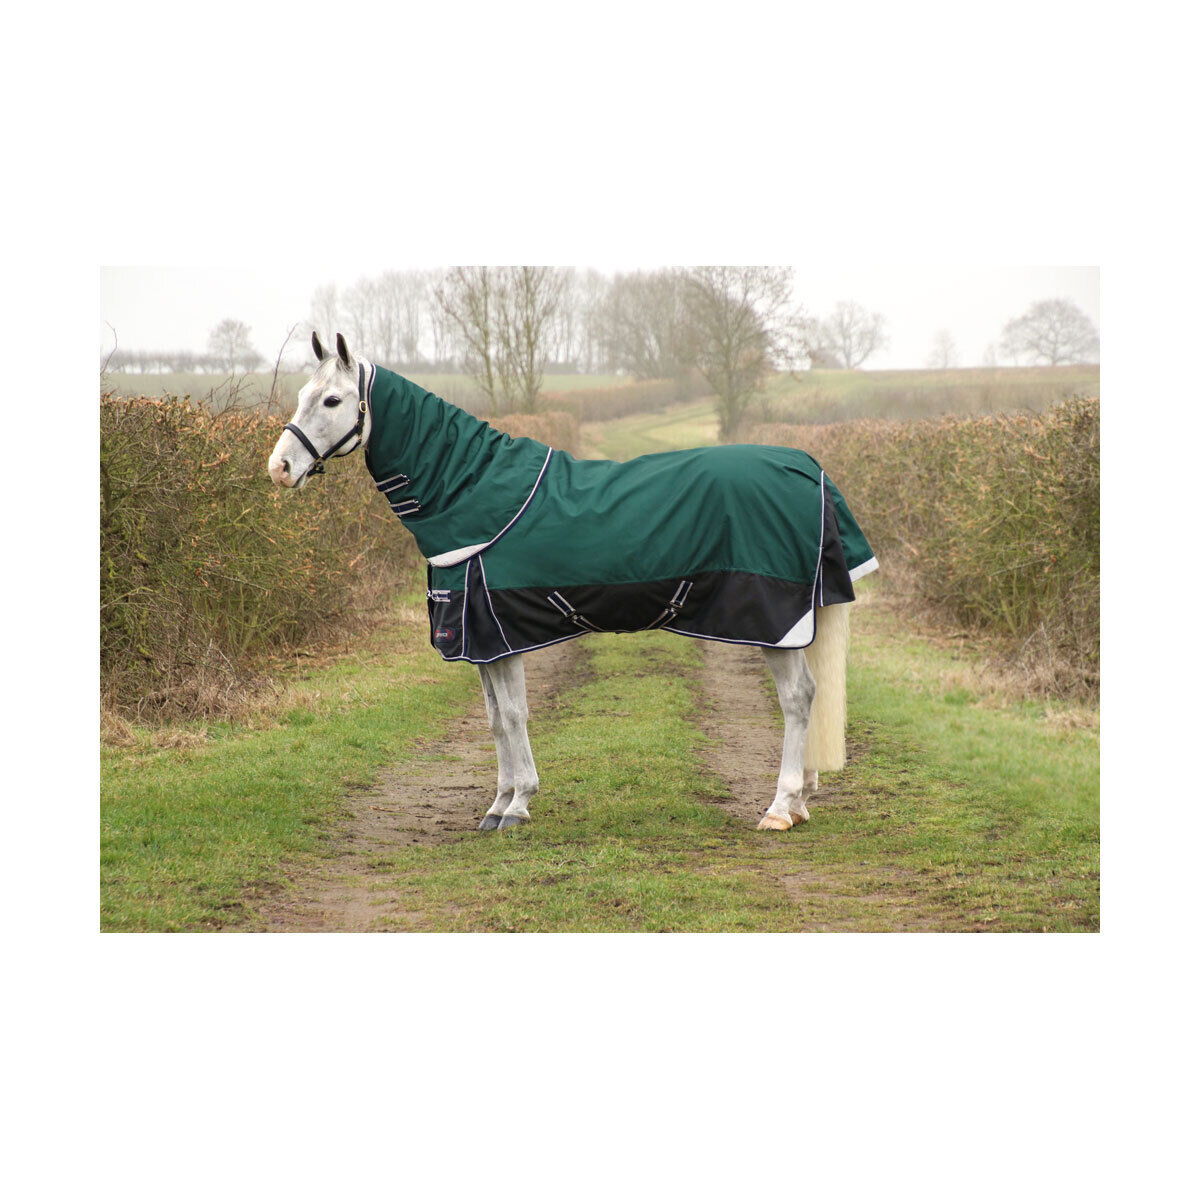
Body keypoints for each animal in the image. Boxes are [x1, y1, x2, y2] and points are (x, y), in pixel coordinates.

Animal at [268, 333, 878, 833]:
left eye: (332, 401)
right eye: (302, 394)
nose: (279, 468)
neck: (470, 492)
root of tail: (809, 468)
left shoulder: (498, 632)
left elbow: (515, 714)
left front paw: (516, 807)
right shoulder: (479, 642)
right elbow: (495, 719)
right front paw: (498, 802)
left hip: (776, 624)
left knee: (798, 699)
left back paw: (779, 807)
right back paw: (799, 804)